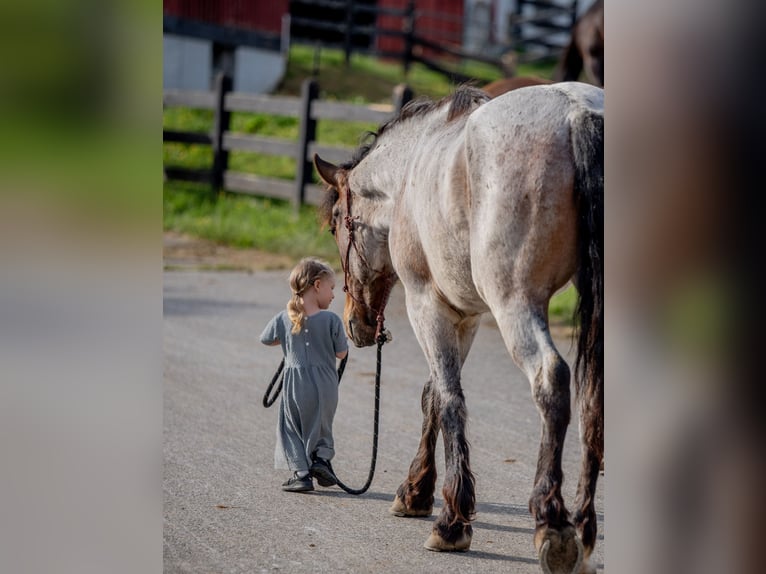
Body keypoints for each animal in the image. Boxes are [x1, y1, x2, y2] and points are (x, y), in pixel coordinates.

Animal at [316, 82, 604, 574]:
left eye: (337, 225)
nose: (356, 324)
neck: (412, 170)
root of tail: (577, 113)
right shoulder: (465, 315)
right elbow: (434, 395)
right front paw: (416, 491)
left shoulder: (426, 304)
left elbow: (449, 400)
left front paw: (451, 521)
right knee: (593, 401)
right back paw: (584, 532)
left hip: (515, 304)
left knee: (551, 380)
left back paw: (553, 524)